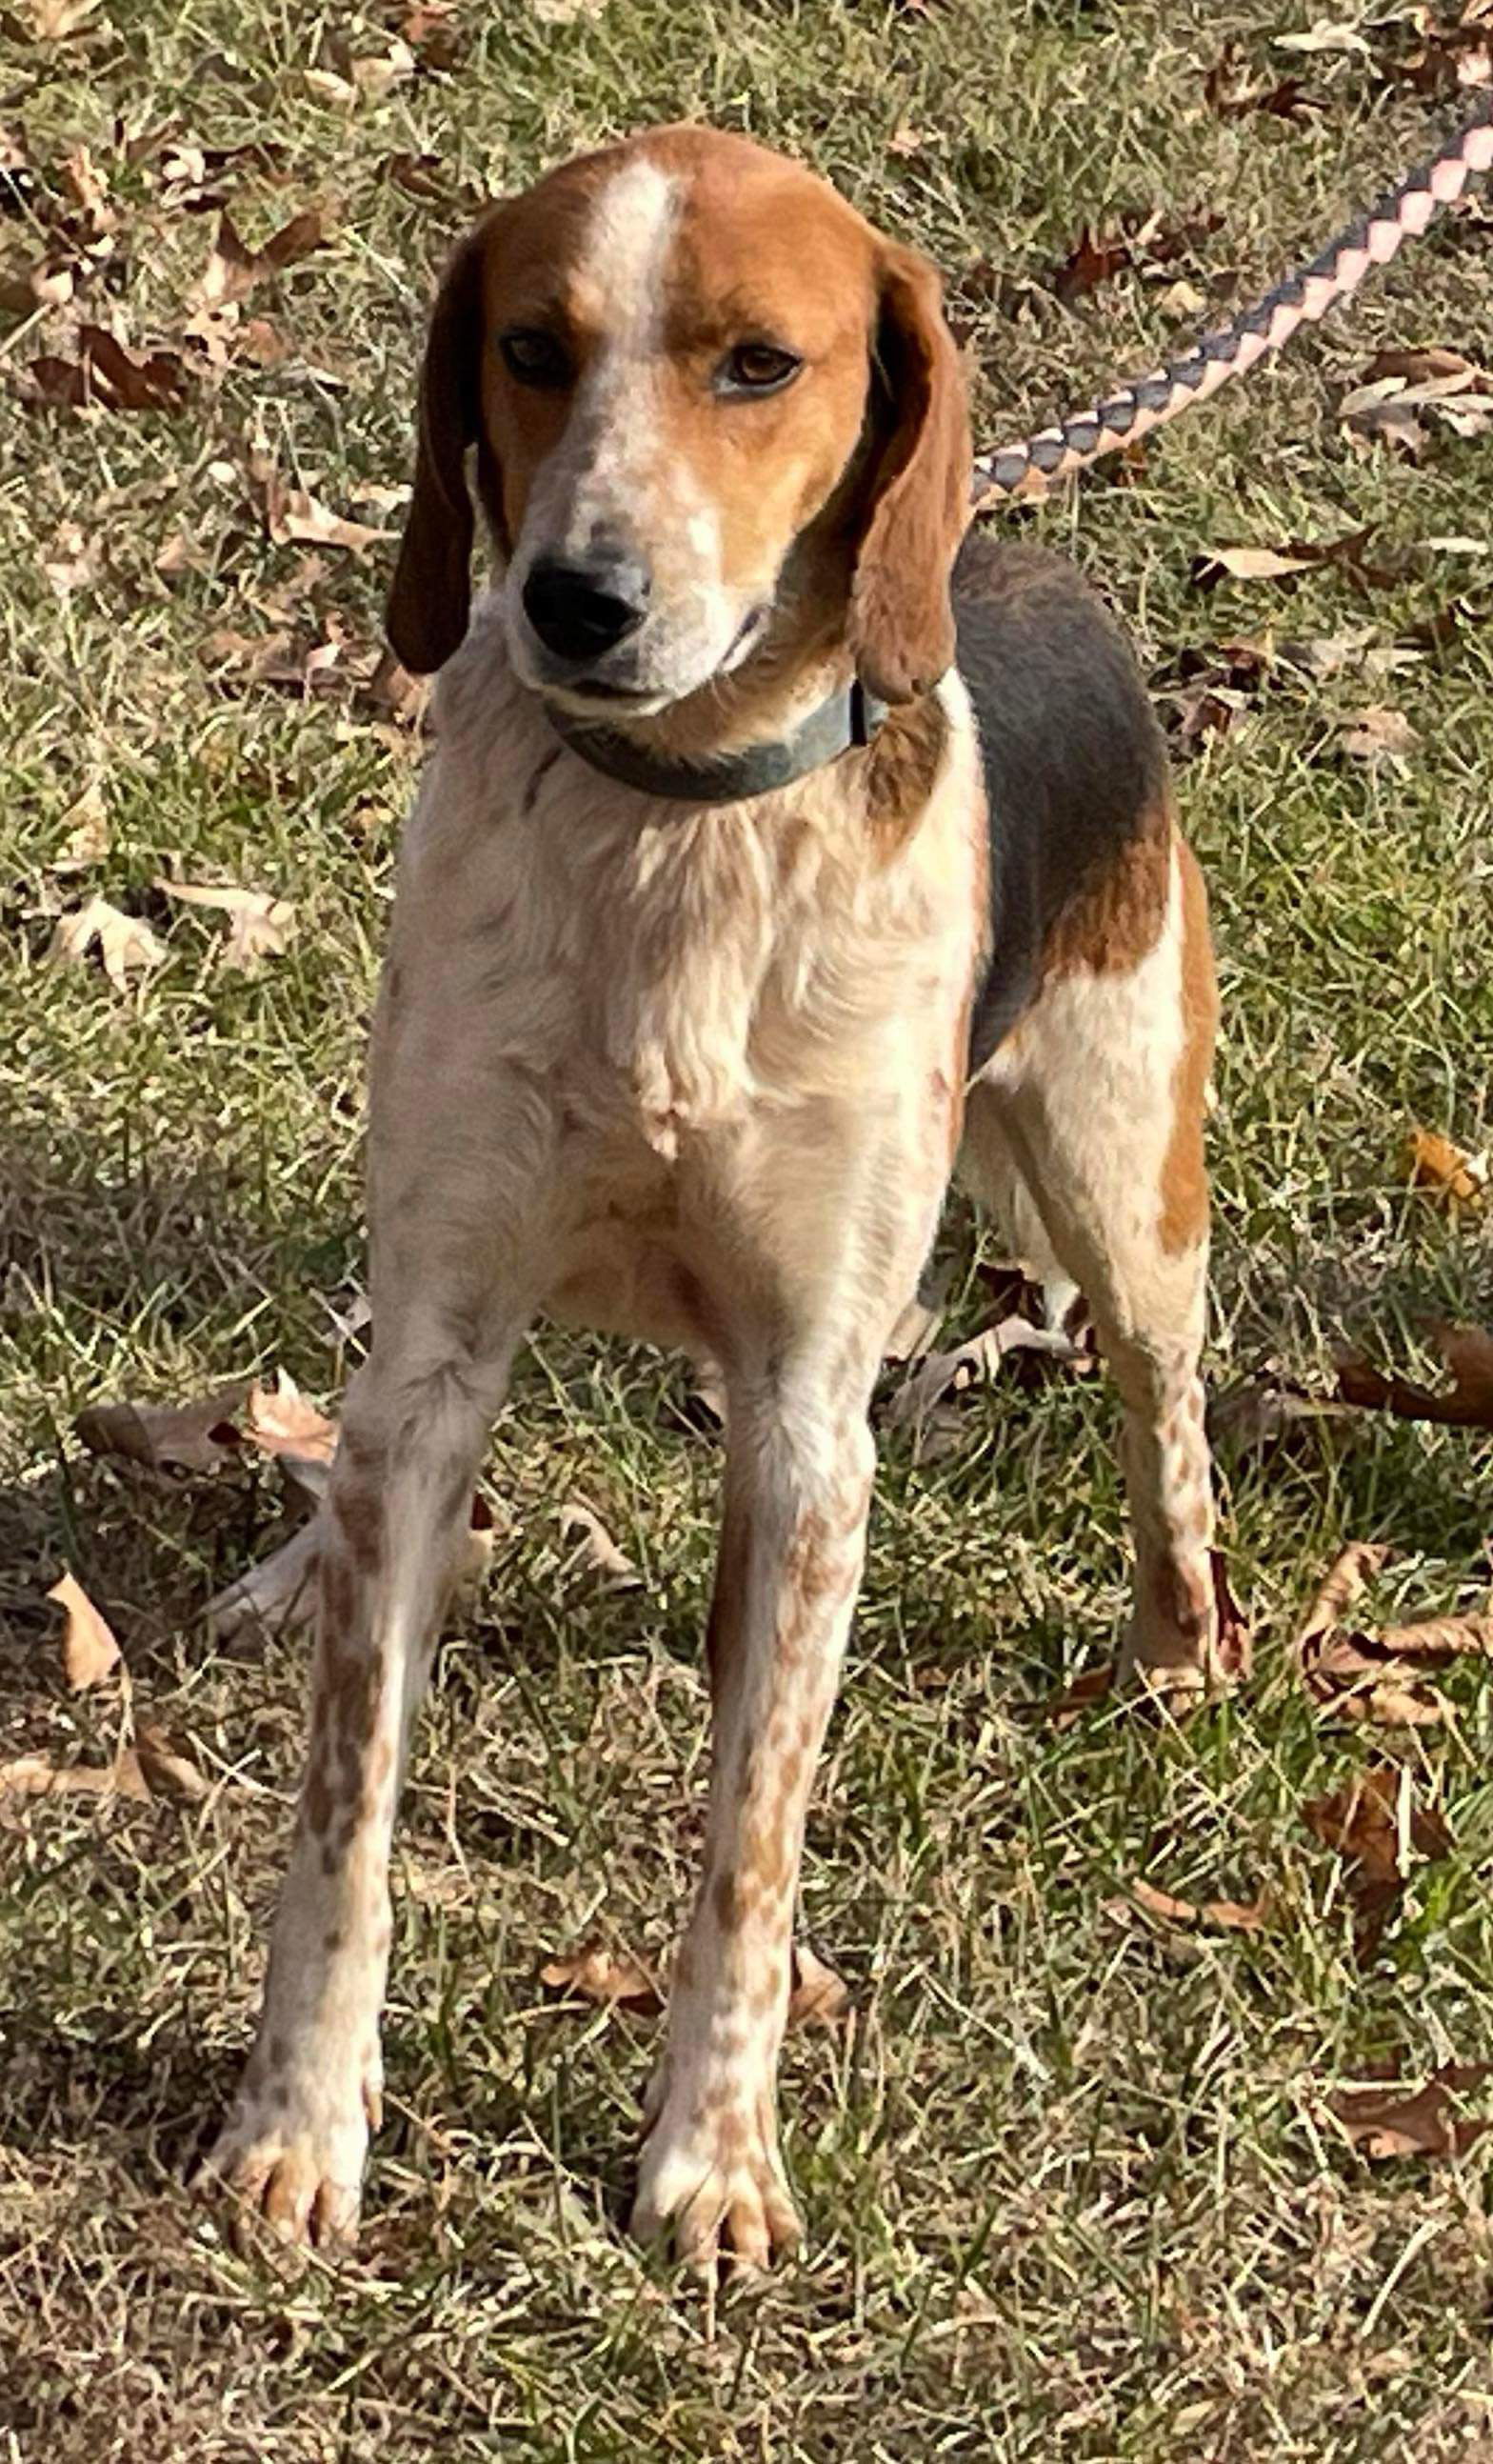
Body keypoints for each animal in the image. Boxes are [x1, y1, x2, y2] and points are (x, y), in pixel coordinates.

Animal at [204, 115, 1222, 2267]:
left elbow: (748, 1849)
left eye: (759, 364)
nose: (573, 599)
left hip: (1126, 1183)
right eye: (528, 345)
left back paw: (1180, 1646)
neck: (671, 829)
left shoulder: (807, 1423)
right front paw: (298, 2126)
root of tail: (1012, 553)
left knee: (1162, 1413)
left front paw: (714, 2156)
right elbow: (346, 1803)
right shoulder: (442, 1332)